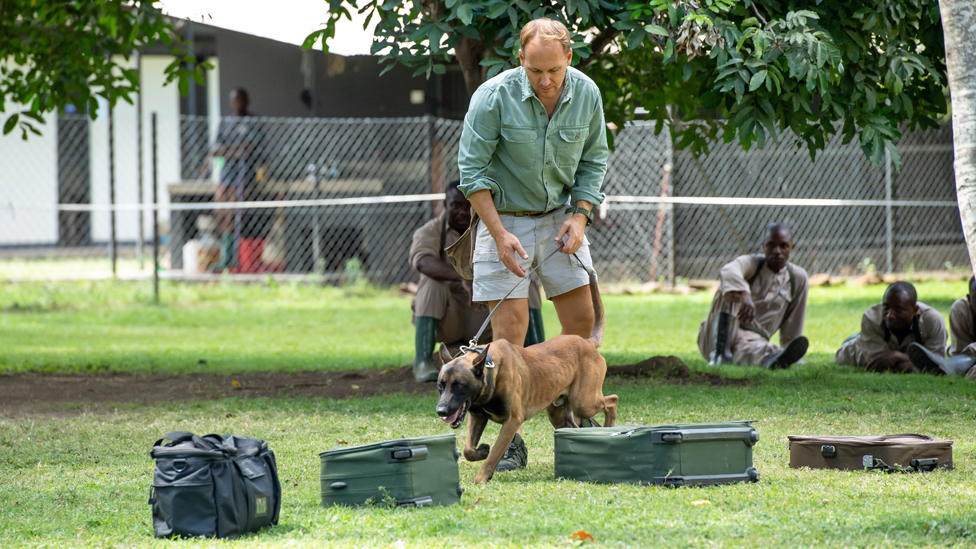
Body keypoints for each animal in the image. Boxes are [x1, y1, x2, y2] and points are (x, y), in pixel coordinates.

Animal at [434, 272, 616, 482]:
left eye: (459, 385)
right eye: (440, 386)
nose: (441, 411)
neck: (491, 368)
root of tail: (588, 342)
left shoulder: (512, 421)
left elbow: (494, 454)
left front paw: (480, 479)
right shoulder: (477, 416)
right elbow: (468, 450)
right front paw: (482, 451)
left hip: (583, 402)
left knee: (612, 401)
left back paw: (609, 428)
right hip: (560, 414)